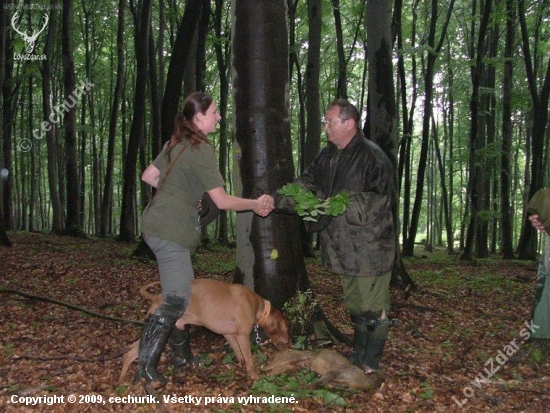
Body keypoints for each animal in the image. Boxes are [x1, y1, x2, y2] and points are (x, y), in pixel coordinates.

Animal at [118, 276, 292, 384]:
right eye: (286, 327)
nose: (290, 344)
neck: (258, 306)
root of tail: (156, 297)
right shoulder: (242, 335)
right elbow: (249, 360)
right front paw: (254, 375)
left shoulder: (229, 334)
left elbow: (239, 354)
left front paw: (239, 365)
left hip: (164, 327)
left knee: (132, 352)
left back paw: (123, 379)